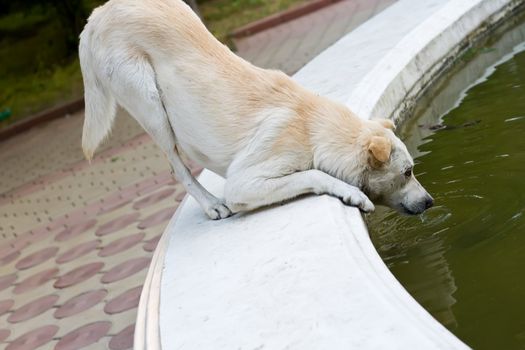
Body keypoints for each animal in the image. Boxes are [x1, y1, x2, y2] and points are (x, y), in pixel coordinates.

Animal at [77, 0, 430, 219]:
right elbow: (312, 174)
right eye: (407, 172)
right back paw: (212, 206)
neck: (312, 126)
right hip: (151, 105)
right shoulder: (244, 182)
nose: (431, 201)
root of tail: (98, 13)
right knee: (176, 165)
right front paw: (351, 193)